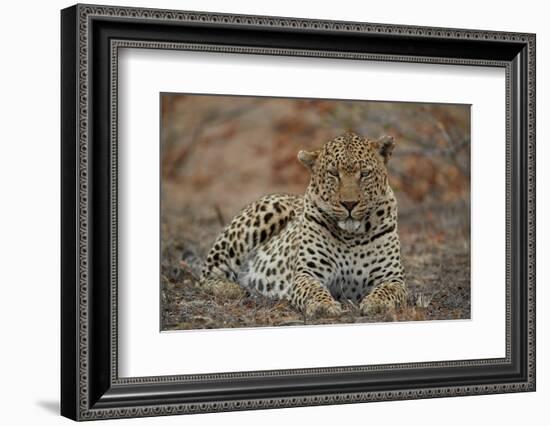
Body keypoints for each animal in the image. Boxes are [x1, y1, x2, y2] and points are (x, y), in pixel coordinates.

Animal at [201, 131, 408, 318]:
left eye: (364, 174)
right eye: (333, 173)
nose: (349, 204)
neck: (351, 236)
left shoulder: (392, 277)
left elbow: (387, 291)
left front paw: (376, 303)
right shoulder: (307, 273)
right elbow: (313, 290)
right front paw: (323, 306)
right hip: (264, 214)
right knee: (207, 274)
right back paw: (232, 289)